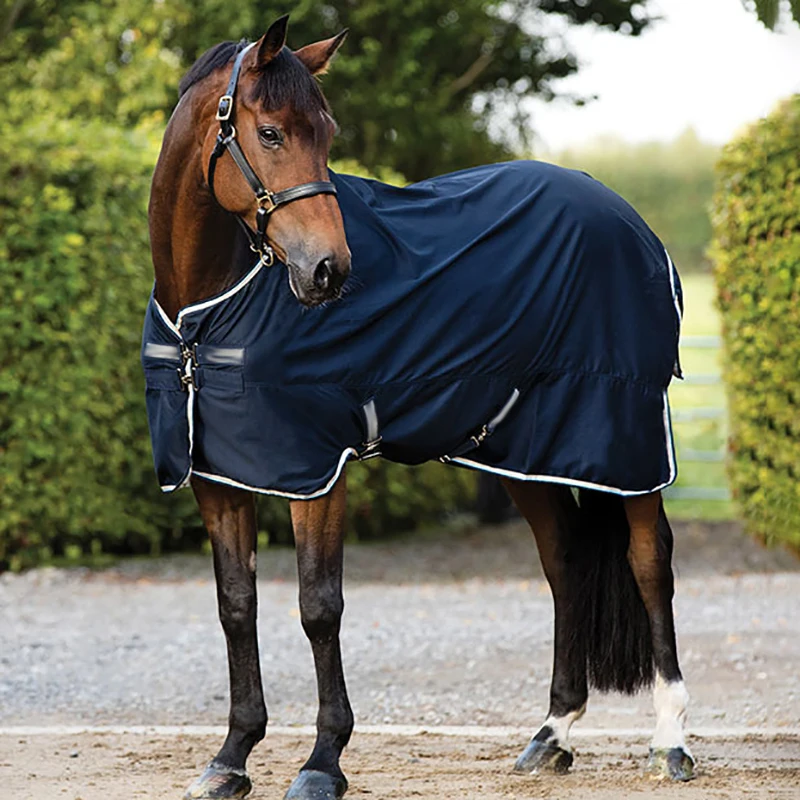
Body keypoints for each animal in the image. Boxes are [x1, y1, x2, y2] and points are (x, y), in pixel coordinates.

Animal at [146, 15, 695, 800]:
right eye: (272, 133)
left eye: (327, 132)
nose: (330, 271)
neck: (211, 308)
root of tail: (625, 215)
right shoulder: (218, 478)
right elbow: (235, 606)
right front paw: (230, 758)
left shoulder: (319, 472)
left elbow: (318, 607)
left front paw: (322, 763)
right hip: (523, 450)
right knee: (564, 563)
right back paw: (551, 735)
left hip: (625, 437)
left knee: (650, 562)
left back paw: (671, 740)